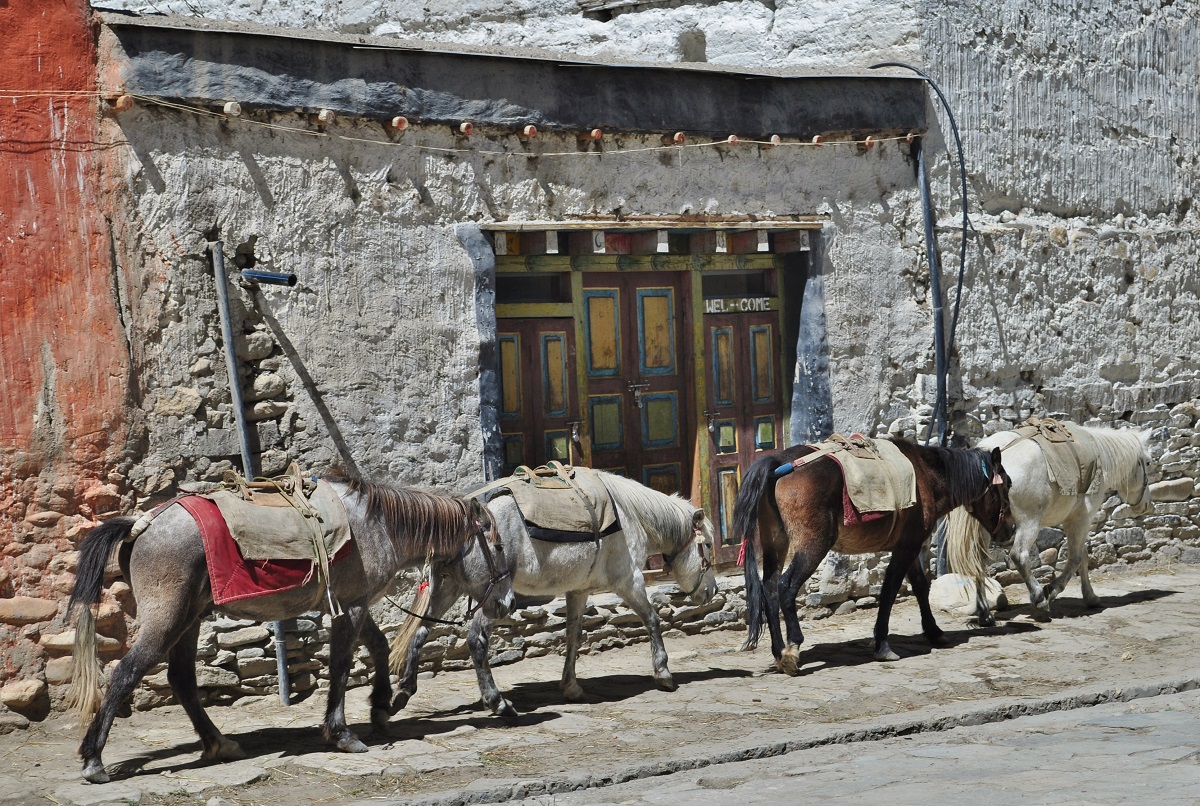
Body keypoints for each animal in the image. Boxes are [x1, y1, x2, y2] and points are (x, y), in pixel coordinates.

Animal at [66, 472, 511, 782]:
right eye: (498, 545)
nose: (505, 604)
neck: (378, 525)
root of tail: (142, 523)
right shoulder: (350, 608)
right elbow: (341, 666)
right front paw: (342, 734)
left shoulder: (354, 603)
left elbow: (380, 648)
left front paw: (383, 705)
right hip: (168, 619)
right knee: (126, 674)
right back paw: (94, 760)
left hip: (189, 619)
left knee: (181, 679)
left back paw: (219, 743)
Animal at [388, 470, 715, 714]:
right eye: (709, 545)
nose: (710, 592)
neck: (629, 514)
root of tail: (461, 510)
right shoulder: (629, 581)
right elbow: (652, 620)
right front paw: (663, 673)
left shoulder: (579, 590)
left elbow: (573, 635)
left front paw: (571, 687)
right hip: (492, 598)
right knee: (476, 640)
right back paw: (497, 702)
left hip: (450, 587)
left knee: (421, 631)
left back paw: (403, 691)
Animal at [729, 436, 1012, 676]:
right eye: (1007, 485)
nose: (1008, 531)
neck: (927, 476)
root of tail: (778, 464)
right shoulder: (907, 548)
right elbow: (889, 592)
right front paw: (883, 645)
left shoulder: (908, 545)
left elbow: (920, 586)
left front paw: (934, 632)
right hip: (813, 545)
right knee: (786, 586)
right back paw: (791, 649)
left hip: (776, 544)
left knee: (769, 588)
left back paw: (778, 651)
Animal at [945, 422, 1152, 618]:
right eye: (1148, 463)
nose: (1147, 505)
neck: (1096, 450)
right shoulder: (1081, 519)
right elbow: (1077, 558)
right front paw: (1052, 590)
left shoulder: (1073, 521)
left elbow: (1083, 556)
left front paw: (1090, 597)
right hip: (1028, 523)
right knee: (1019, 556)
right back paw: (1038, 597)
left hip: (988, 526)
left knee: (978, 561)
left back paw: (984, 612)